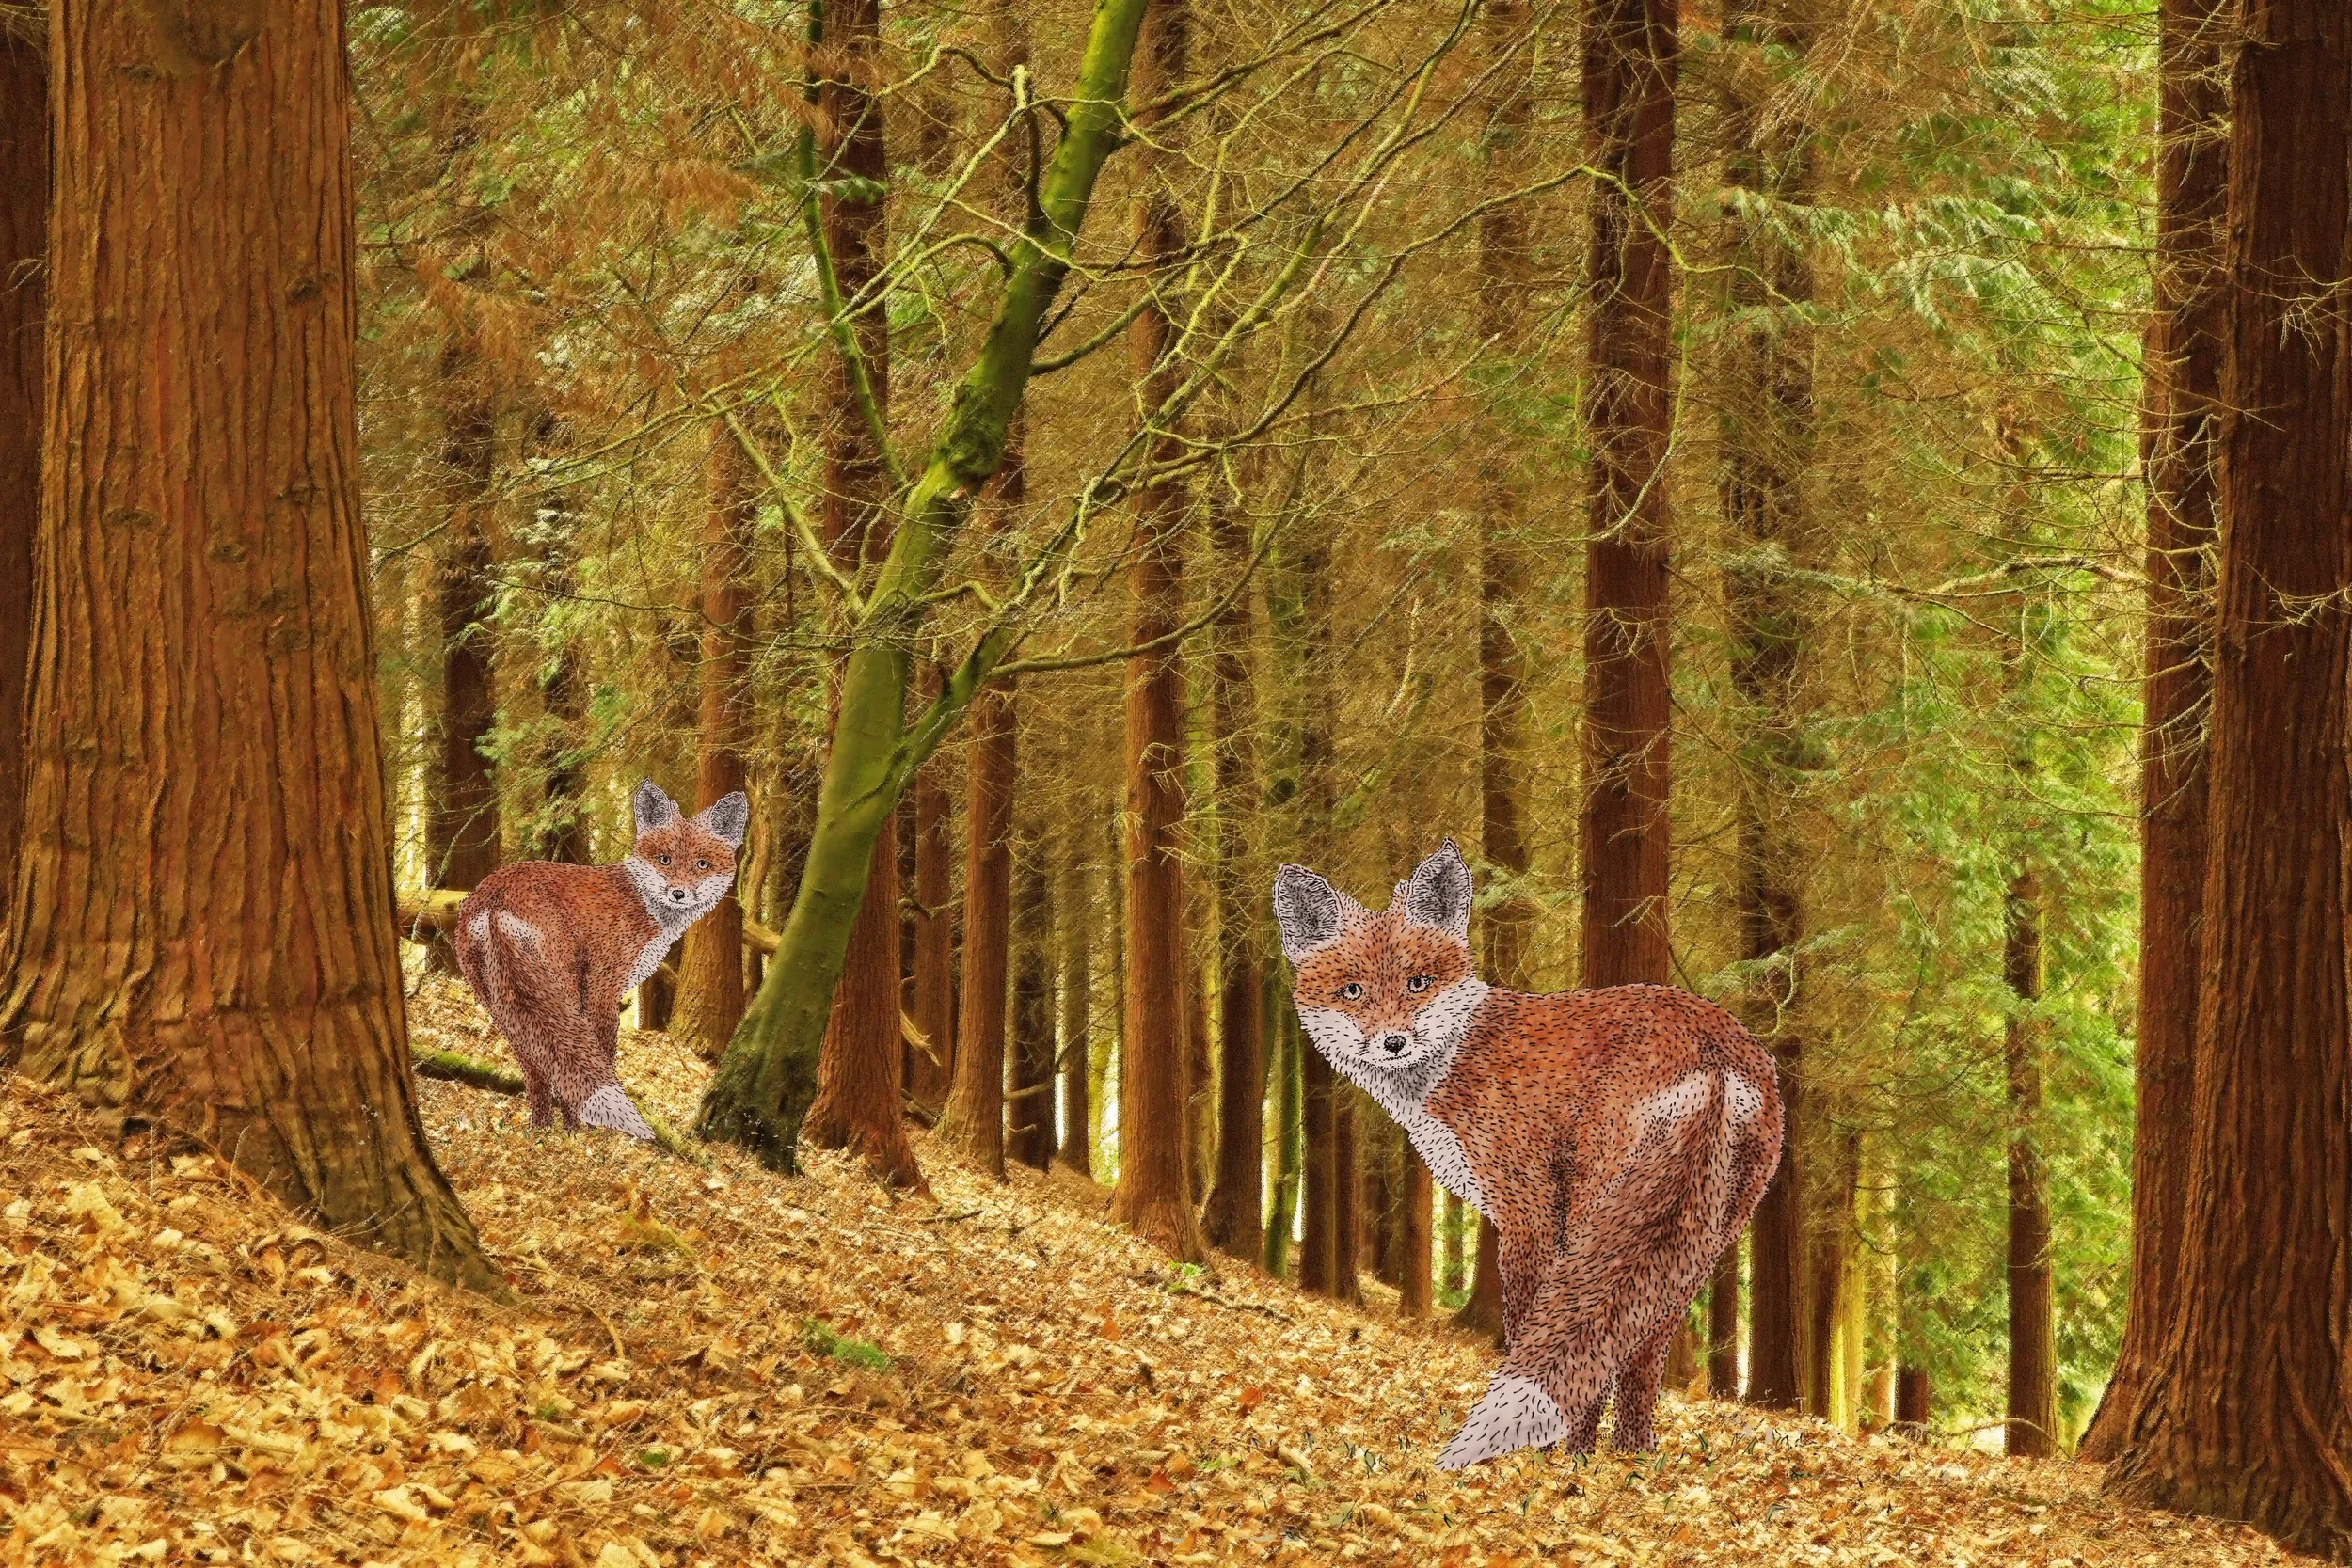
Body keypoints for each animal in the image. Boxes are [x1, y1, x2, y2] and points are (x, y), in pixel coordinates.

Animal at [452, 779, 750, 1141]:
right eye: (664, 859)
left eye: (702, 864)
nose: (678, 893)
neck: (644, 907)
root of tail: (498, 894)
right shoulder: (603, 987)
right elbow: (605, 1054)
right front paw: (602, 1132)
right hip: (557, 987)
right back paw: (575, 1132)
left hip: (499, 1003)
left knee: (537, 1070)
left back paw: (542, 1133)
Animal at [1272, 839, 1784, 1470]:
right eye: (1353, 991)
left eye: (1418, 982)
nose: (1394, 1042)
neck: (1452, 1064)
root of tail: (1711, 1045)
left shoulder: (1526, 1210)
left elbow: (1523, 1326)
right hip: (1706, 1235)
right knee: (1641, 1351)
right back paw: (1633, 1458)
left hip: (1604, 1206)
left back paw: (1569, 1456)